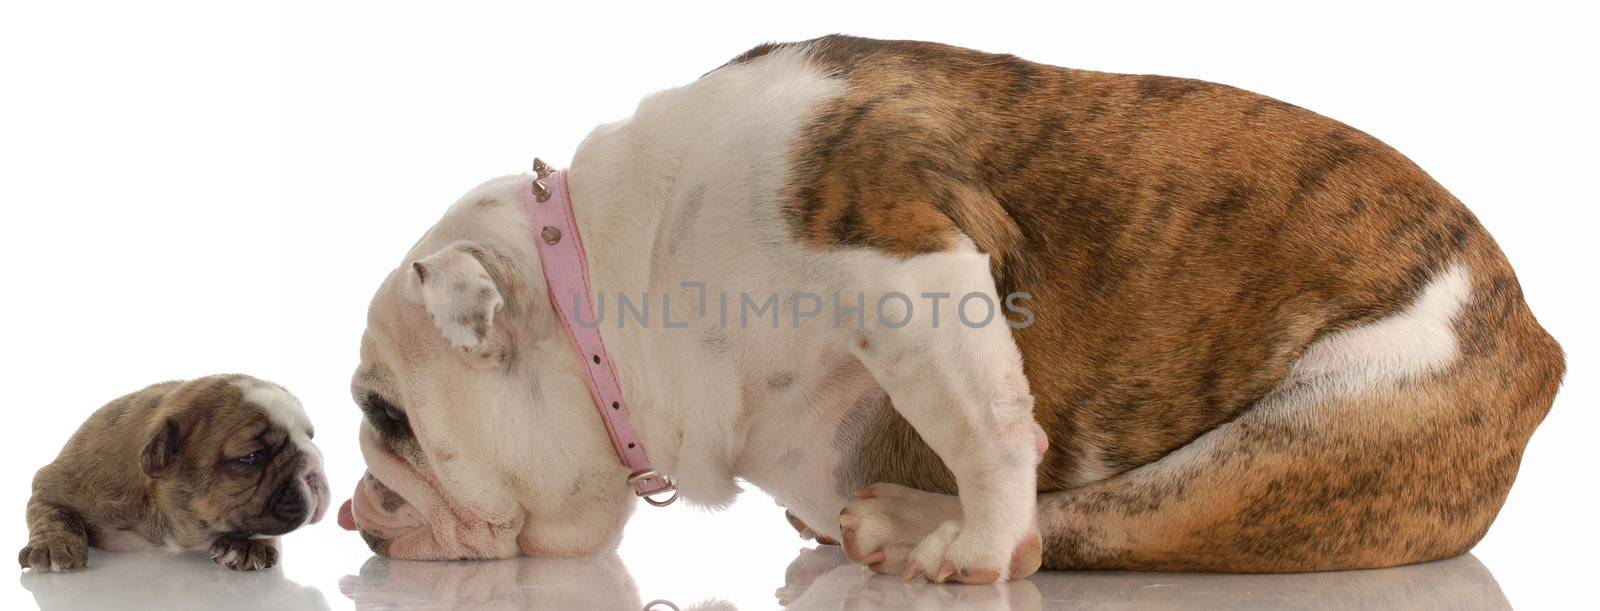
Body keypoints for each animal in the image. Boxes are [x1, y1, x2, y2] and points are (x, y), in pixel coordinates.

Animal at [20, 374, 331, 569]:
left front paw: (247, 545)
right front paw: (52, 545)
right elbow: (54, 514)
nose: (315, 469)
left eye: (311, 439)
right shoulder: (55, 483)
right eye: (253, 457)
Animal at [347, 35, 1561, 585]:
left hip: (1323, 428)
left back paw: (925, 533)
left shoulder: (900, 256)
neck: (615, 268)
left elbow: (982, 425)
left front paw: (975, 534)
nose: (361, 503)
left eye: (388, 416)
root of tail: (1535, 337)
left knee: (1107, 519)